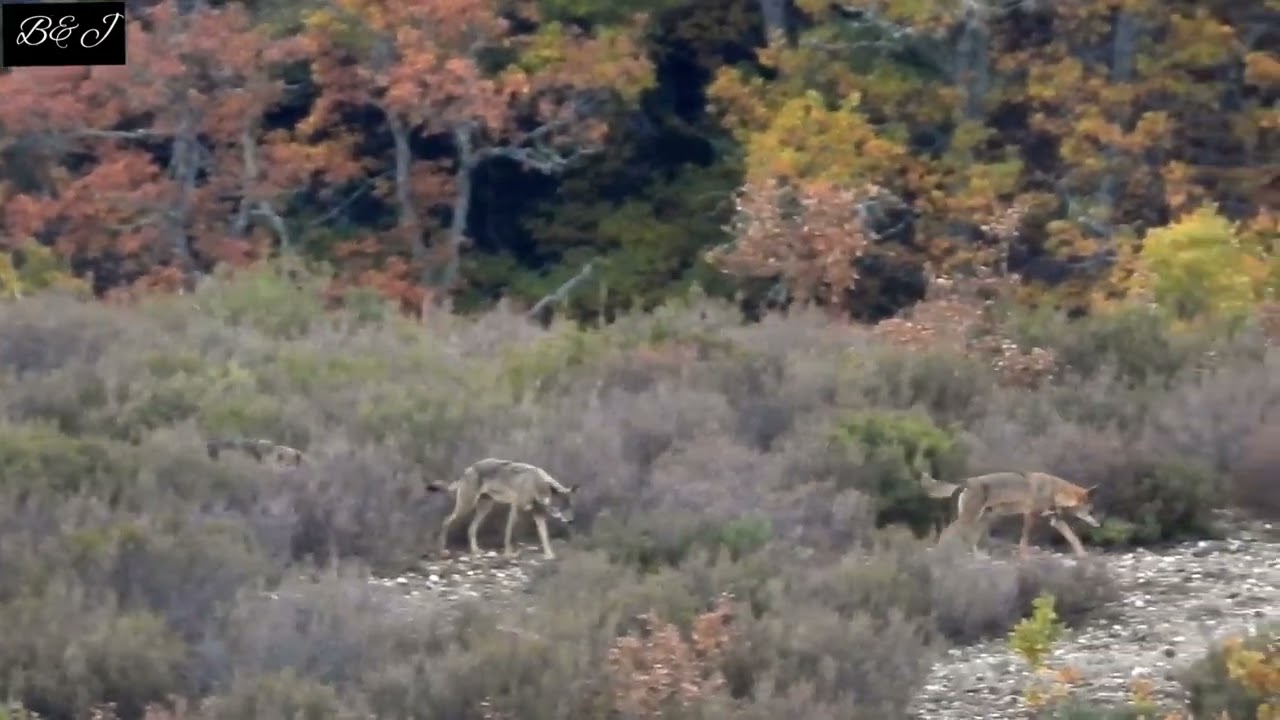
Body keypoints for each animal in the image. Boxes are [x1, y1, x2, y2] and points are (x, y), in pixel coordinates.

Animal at [427, 458, 579, 559]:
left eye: (571, 506)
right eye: (563, 506)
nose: (571, 521)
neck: (538, 484)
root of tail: (468, 468)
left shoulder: (538, 514)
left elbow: (544, 535)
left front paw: (549, 554)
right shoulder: (516, 507)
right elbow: (508, 531)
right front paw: (508, 553)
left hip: (485, 507)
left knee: (471, 528)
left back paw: (475, 551)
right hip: (466, 506)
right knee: (446, 520)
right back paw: (442, 551)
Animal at [920, 470, 1100, 558]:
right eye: (1091, 510)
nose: (1098, 524)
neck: (1055, 491)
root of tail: (967, 481)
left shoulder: (1055, 520)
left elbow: (1074, 539)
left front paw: (1083, 555)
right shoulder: (1030, 515)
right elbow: (1024, 541)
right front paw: (1024, 557)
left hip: (982, 520)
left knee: (970, 541)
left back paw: (978, 558)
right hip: (970, 519)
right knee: (946, 532)